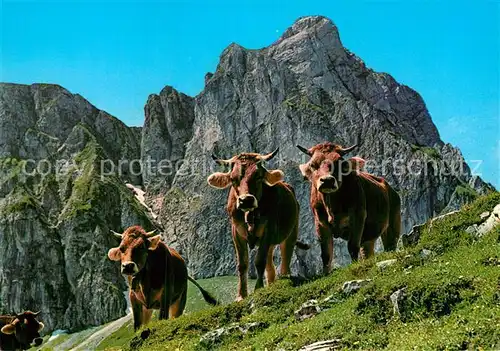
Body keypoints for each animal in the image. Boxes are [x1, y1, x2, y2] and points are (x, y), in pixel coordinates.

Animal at [296, 143, 402, 276]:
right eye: (312, 164)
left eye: (339, 162)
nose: (327, 180)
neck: (332, 206)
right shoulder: (320, 222)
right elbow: (326, 253)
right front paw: (326, 273)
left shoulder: (358, 216)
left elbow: (352, 246)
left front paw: (355, 266)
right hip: (369, 238)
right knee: (367, 251)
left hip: (393, 226)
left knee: (390, 245)